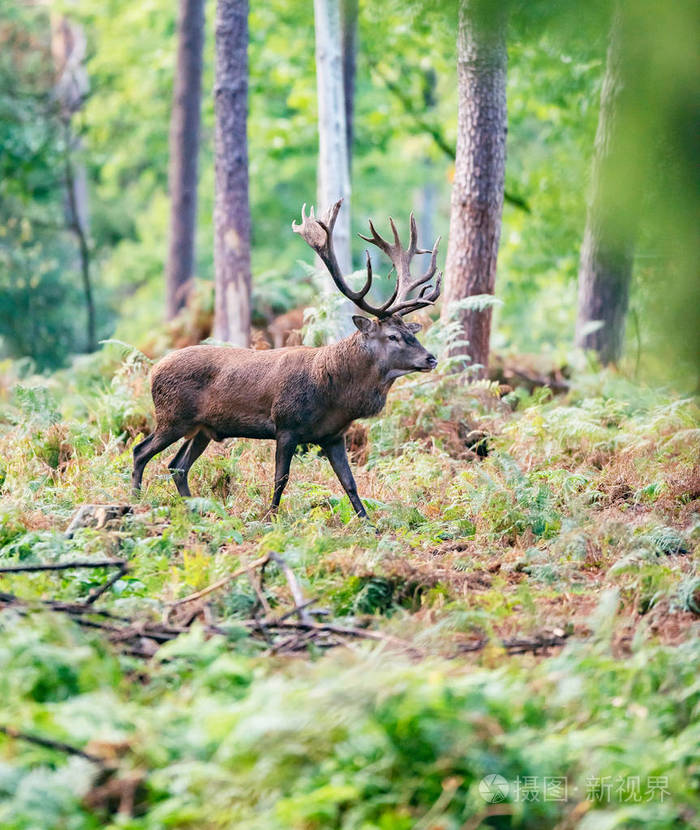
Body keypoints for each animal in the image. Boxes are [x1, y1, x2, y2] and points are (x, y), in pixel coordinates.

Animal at [131, 198, 440, 516]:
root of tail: (153, 371)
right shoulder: (286, 425)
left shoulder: (333, 435)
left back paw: (194, 508)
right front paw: (271, 516)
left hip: (202, 428)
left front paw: (368, 521)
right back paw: (137, 499)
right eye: (392, 336)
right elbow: (281, 478)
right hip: (172, 417)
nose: (431, 359)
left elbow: (350, 484)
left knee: (177, 465)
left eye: (410, 332)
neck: (336, 396)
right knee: (140, 451)